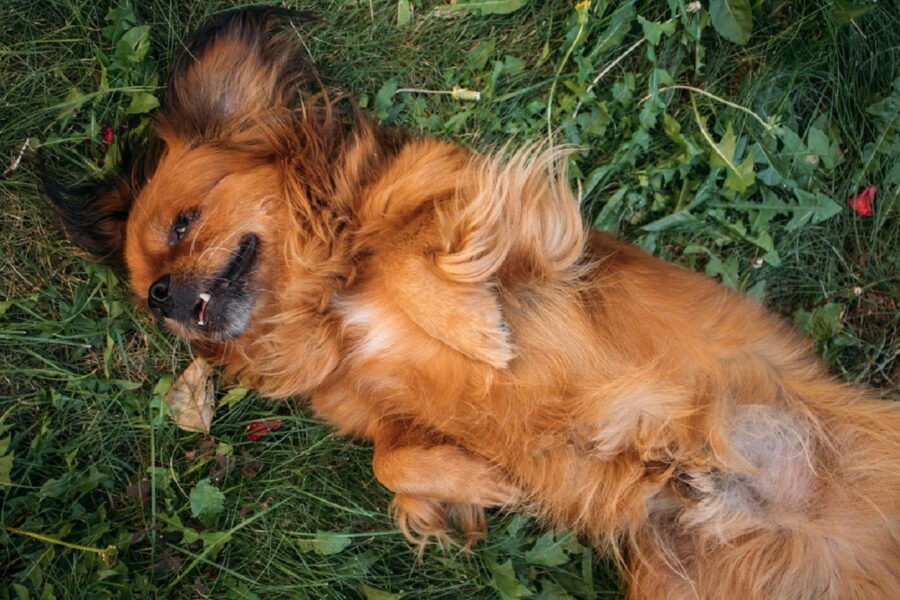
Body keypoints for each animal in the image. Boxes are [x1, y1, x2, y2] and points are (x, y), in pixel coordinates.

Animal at [44, 9, 900, 600]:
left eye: (183, 225)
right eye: (147, 292)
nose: (161, 296)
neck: (323, 308)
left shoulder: (527, 244)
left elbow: (405, 253)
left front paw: (475, 332)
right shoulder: (384, 416)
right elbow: (391, 460)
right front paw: (481, 480)